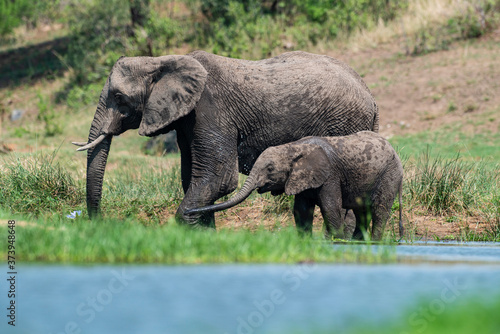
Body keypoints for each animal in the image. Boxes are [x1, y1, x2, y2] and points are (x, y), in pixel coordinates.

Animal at [73, 50, 378, 227]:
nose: (99, 225)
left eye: (119, 98)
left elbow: (218, 179)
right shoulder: (187, 120)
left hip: (343, 124)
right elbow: (193, 179)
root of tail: (370, 96)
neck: (162, 60)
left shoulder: (211, 110)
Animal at [186, 130, 404, 240]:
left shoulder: (330, 175)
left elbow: (330, 208)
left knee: (379, 210)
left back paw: (373, 242)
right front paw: (305, 241)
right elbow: (301, 210)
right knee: (362, 212)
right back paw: (359, 242)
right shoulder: (302, 177)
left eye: (270, 169)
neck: (293, 147)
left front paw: (334, 241)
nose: (188, 211)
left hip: (389, 175)